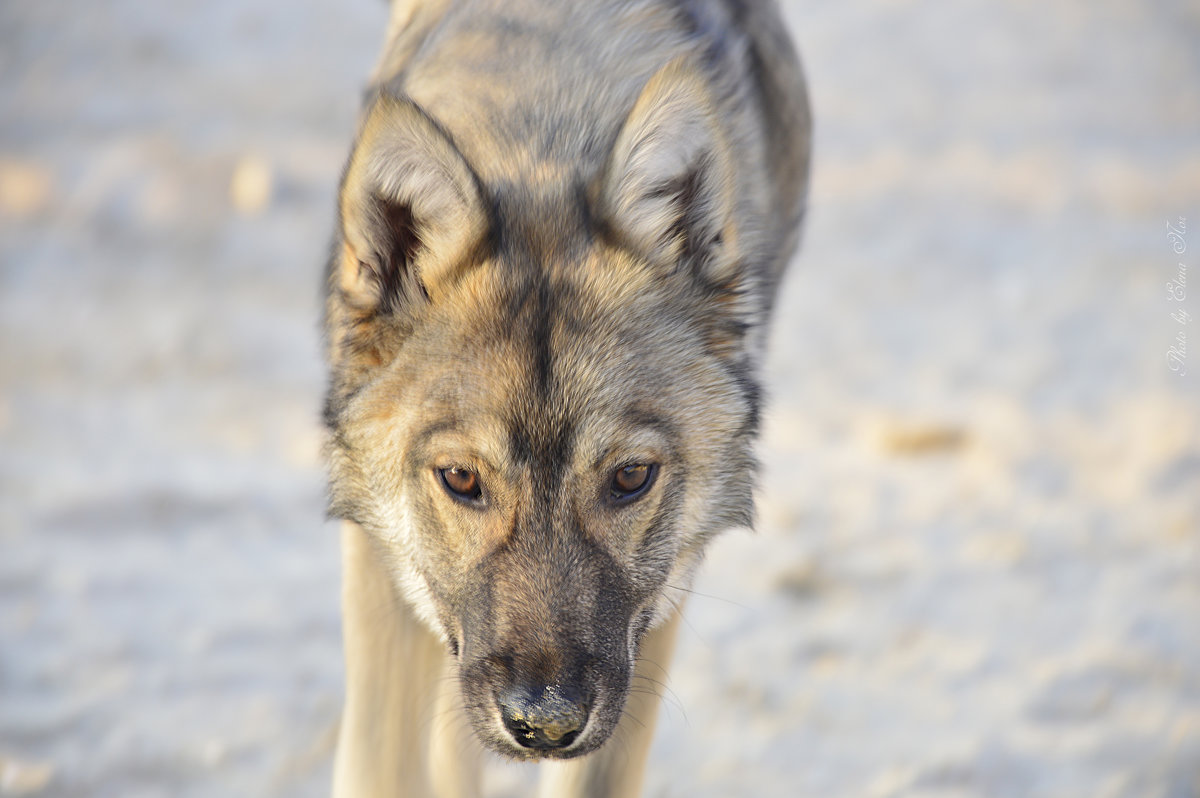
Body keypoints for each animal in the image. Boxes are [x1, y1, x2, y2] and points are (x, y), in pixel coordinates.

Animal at [321, 1, 806, 792]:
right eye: (461, 479)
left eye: (631, 477)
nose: (544, 723)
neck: (541, 132)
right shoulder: (381, 571)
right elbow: (384, 763)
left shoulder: (657, 615)